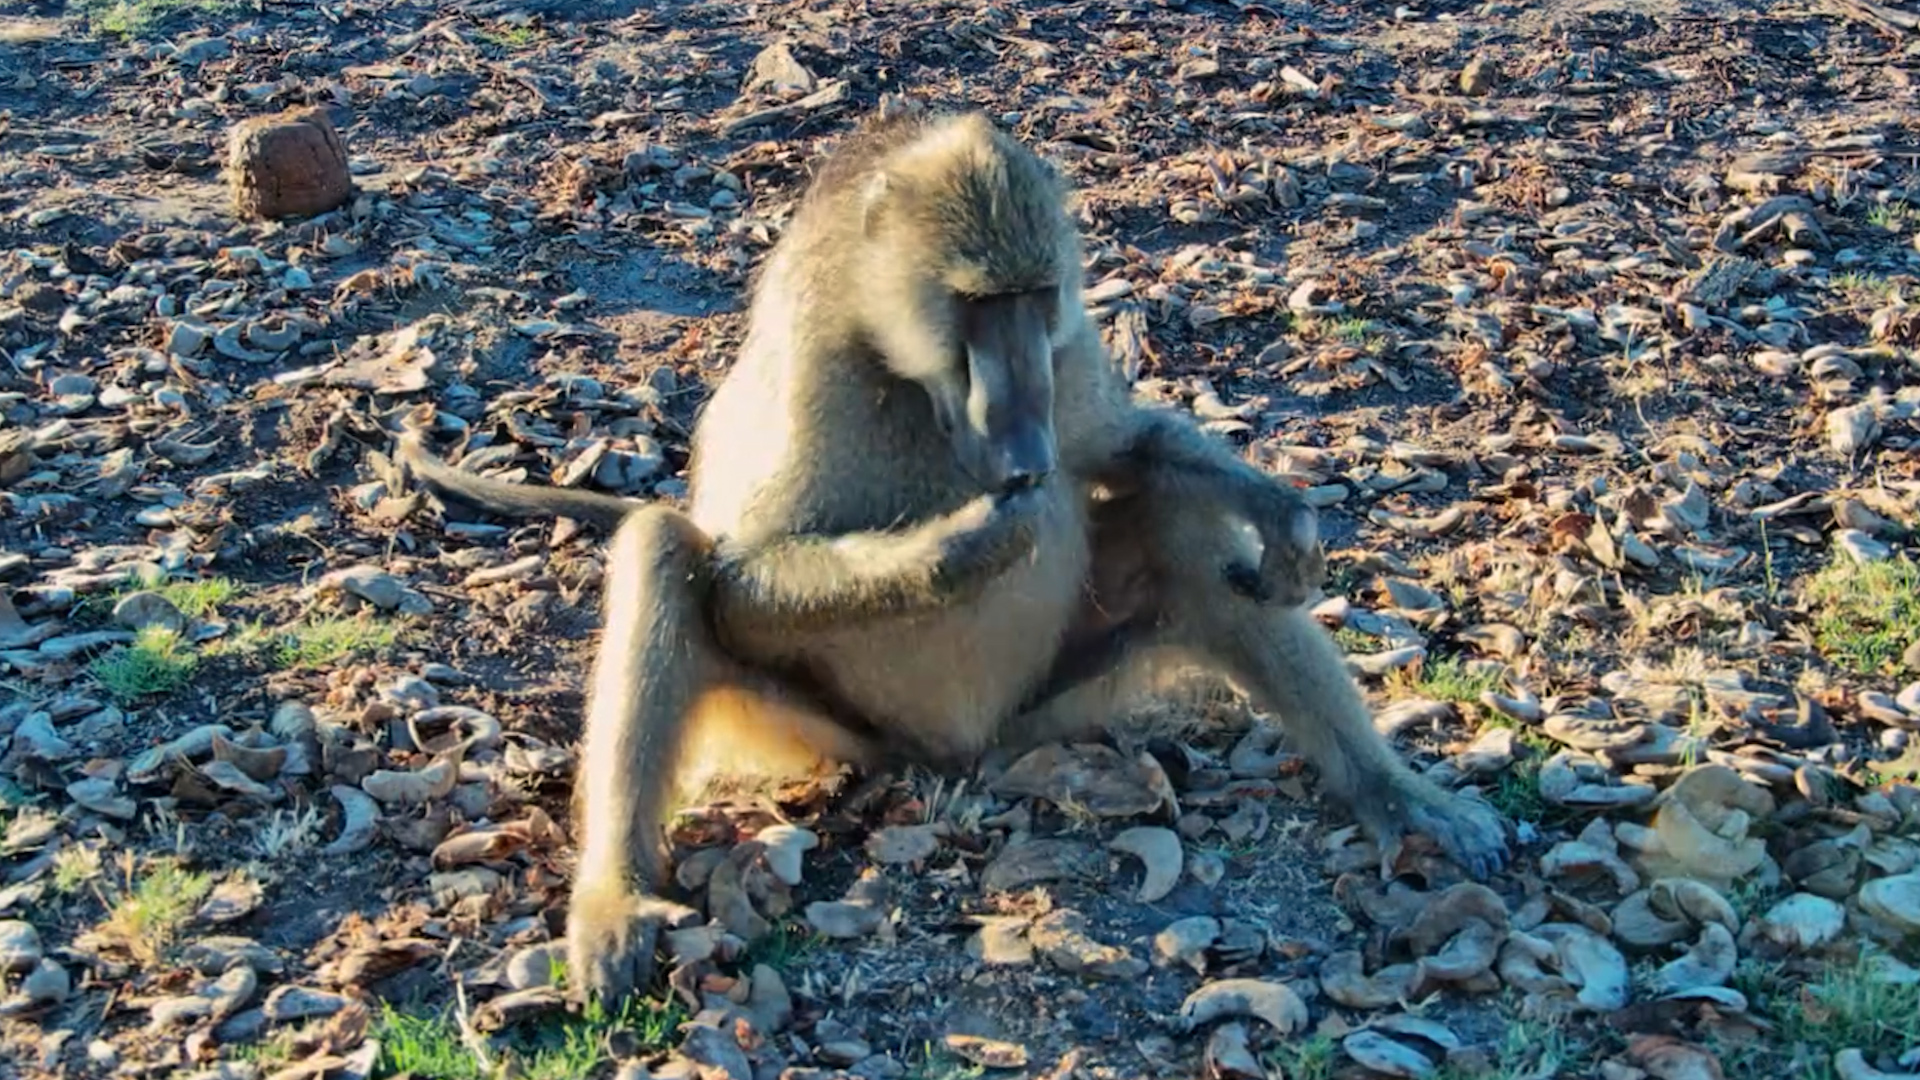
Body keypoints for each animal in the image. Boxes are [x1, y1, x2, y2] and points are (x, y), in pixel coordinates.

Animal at [395, 103, 1509, 1008]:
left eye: (1036, 297)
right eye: (975, 306)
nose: (1018, 430)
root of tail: (963, 751)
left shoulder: (1069, 351)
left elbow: (1124, 452)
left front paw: (1276, 507)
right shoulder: (815, 369)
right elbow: (745, 574)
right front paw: (966, 542)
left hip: (1050, 701)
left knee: (1173, 526)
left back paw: (1396, 799)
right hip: (823, 733)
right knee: (664, 549)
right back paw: (615, 900)